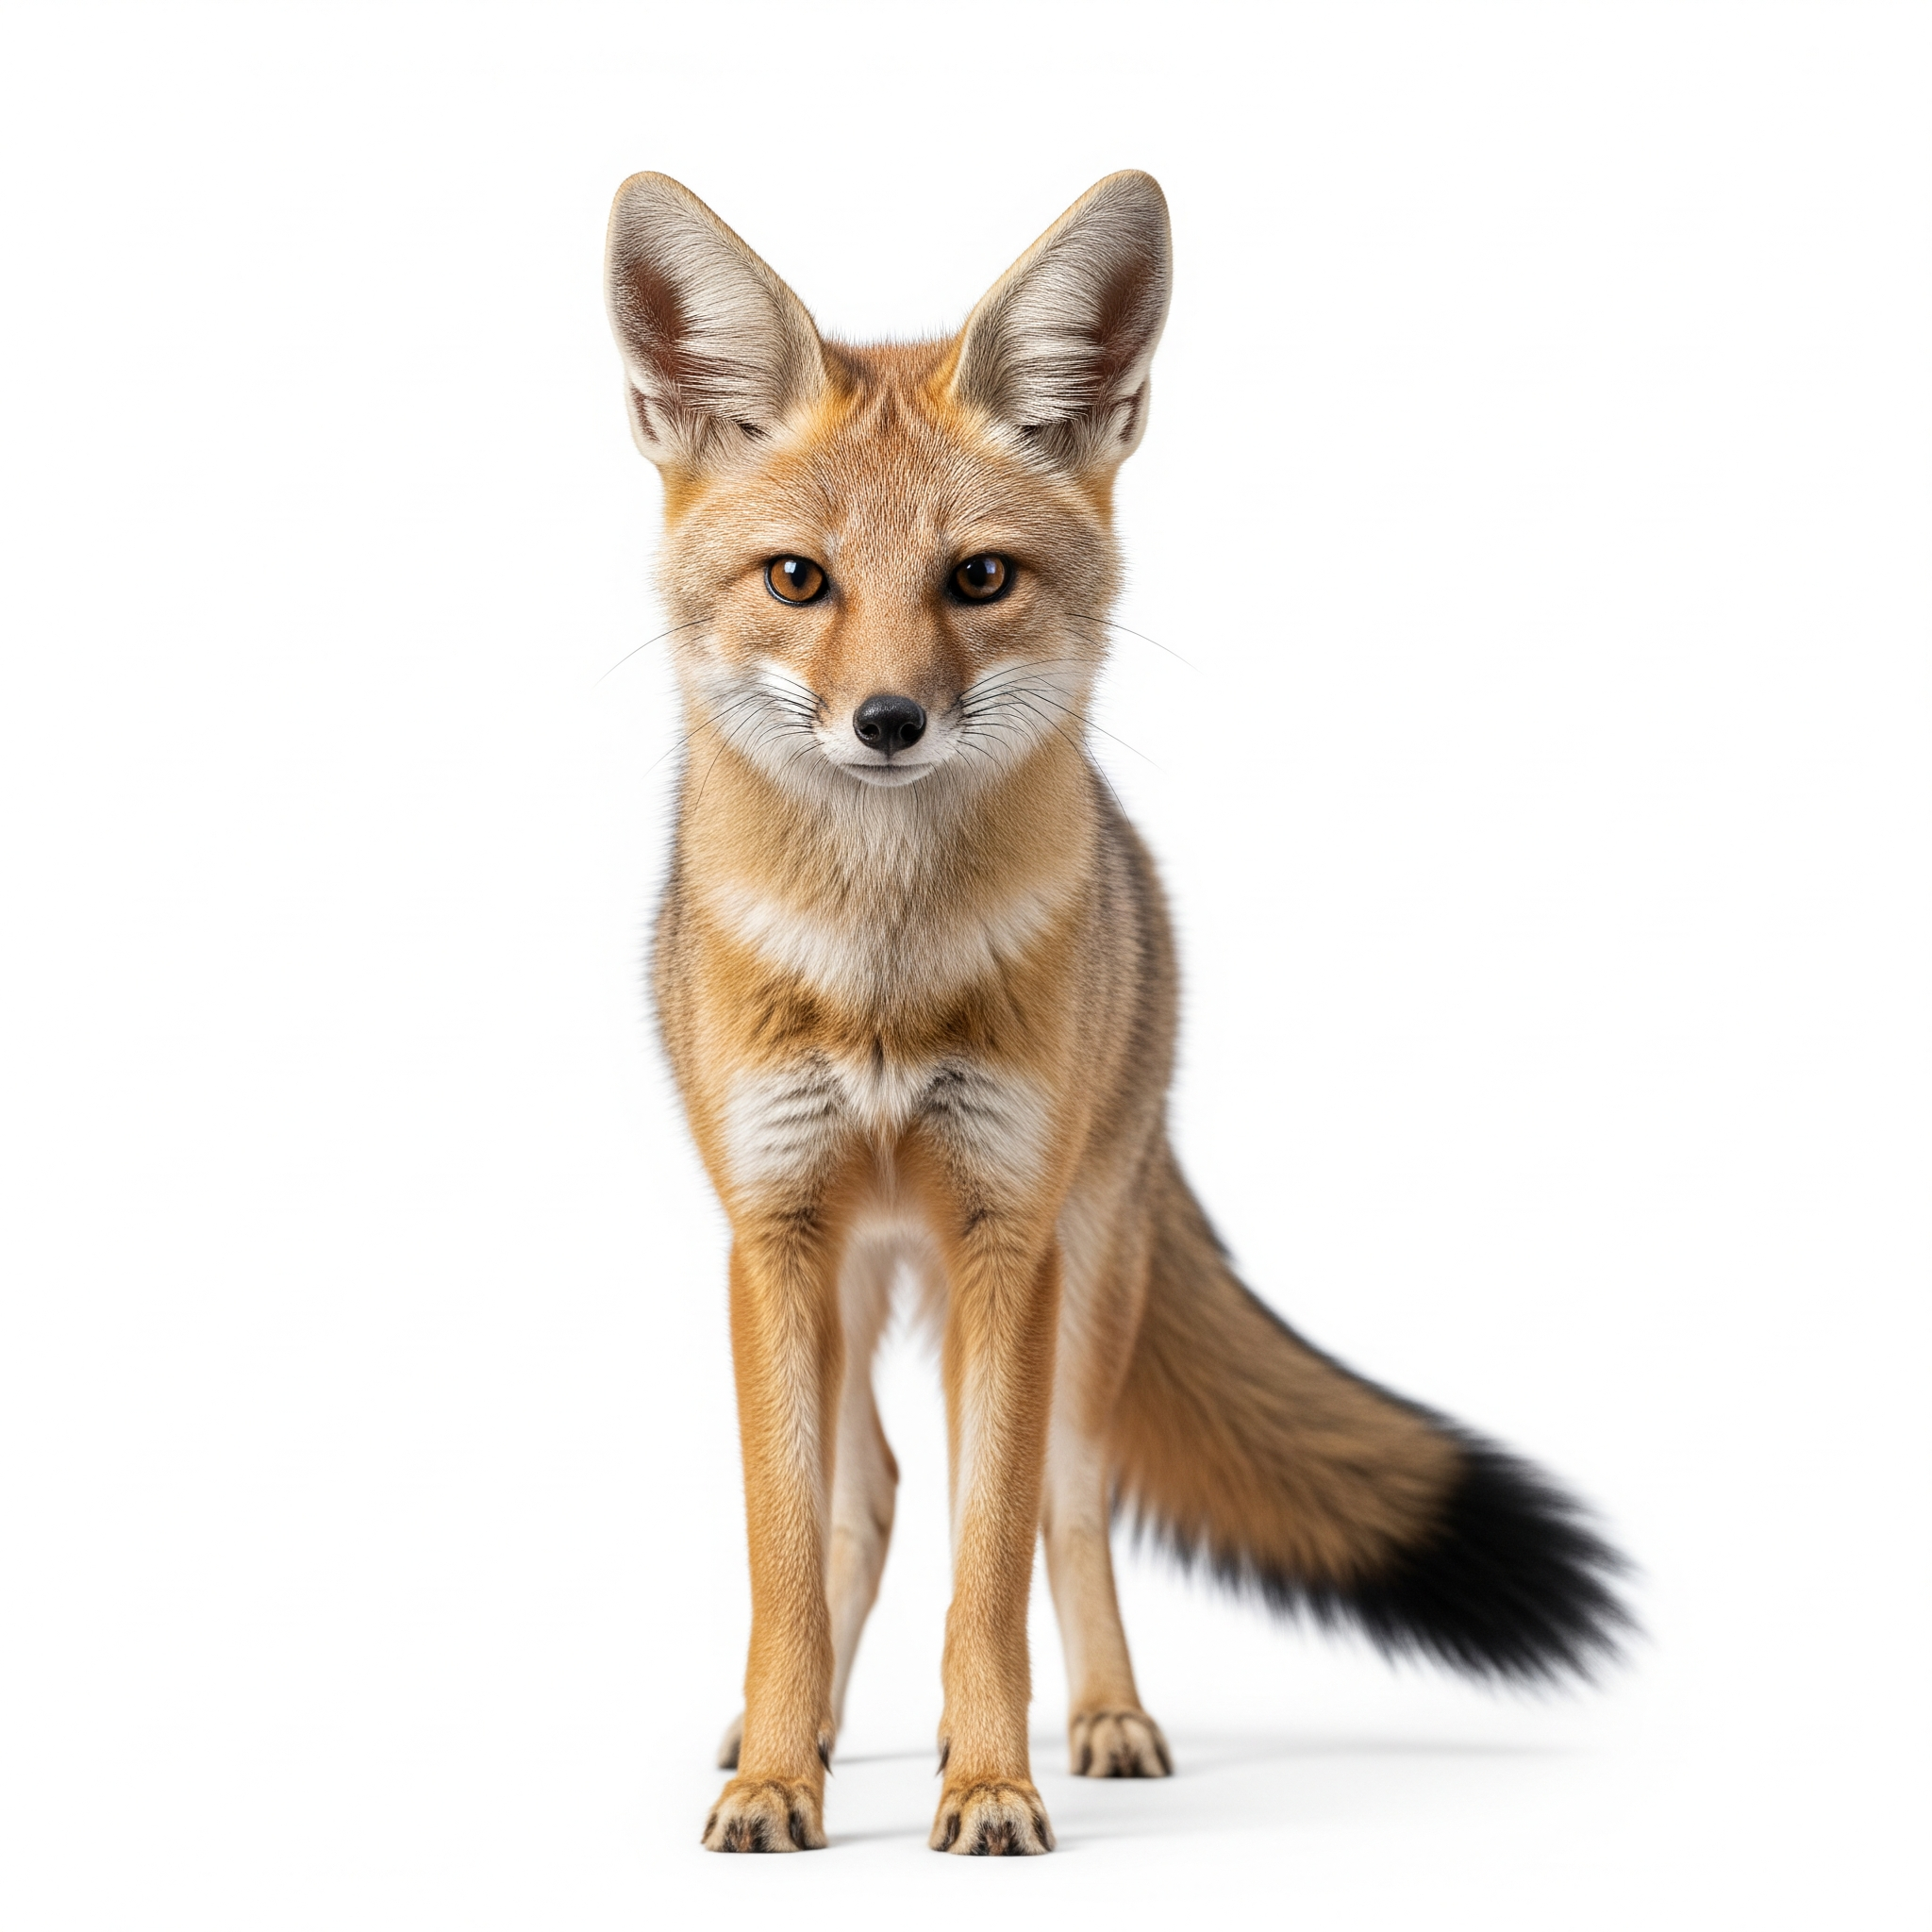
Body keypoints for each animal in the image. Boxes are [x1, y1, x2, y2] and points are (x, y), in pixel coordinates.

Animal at [602, 168, 1628, 1857]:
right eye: (800, 581)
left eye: (980, 578)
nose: (889, 722)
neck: (883, 976)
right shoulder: (772, 1235)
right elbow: (787, 1556)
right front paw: (775, 1779)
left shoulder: (1007, 1233)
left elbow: (996, 1562)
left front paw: (992, 1781)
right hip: (864, 1285)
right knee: (867, 1497)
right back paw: (805, 1732)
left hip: (1081, 1270)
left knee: (1056, 1509)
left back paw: (1099, 1721)